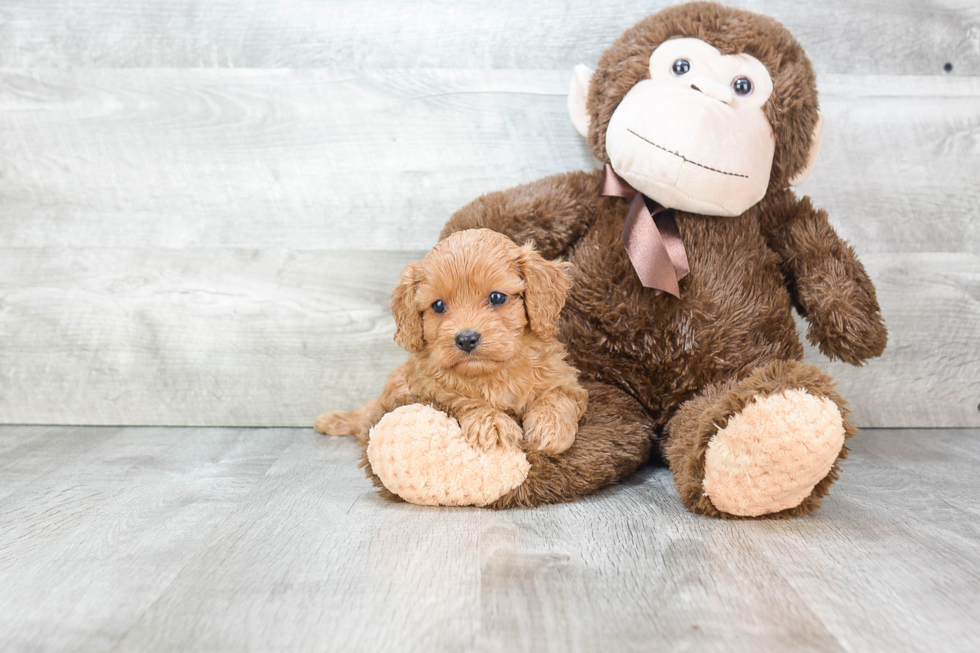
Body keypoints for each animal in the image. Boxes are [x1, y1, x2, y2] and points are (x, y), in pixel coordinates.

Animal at [318, 228, 584, 454]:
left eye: (497, 298)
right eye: (438, 305)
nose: (466, 339)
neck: (491, 374)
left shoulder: (563, 379)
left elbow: (558, 396)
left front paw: (551, 427)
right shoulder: (429, 389)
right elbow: (459, 398)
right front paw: (493, 423)